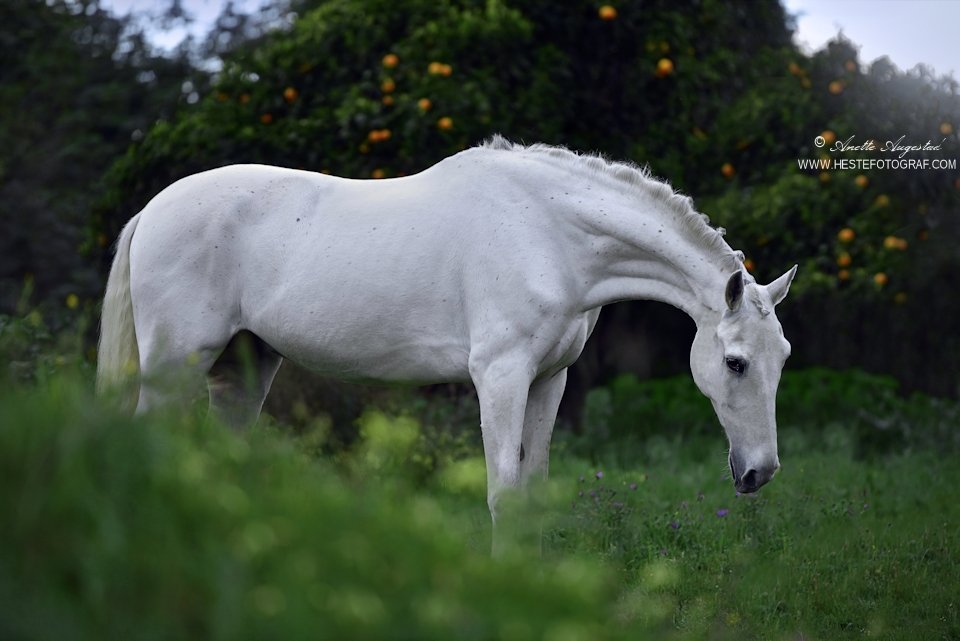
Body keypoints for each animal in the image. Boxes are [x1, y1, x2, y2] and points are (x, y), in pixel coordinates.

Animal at [101, 135, 800, 540]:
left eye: (783, 360)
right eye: (735, 363)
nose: (760, 473)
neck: (548, 232)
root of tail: (155, 207)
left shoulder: (549, 381)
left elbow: (533, 493)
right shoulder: (500, 377)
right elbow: (503, 495)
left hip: (243, 369)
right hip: (175, 364)